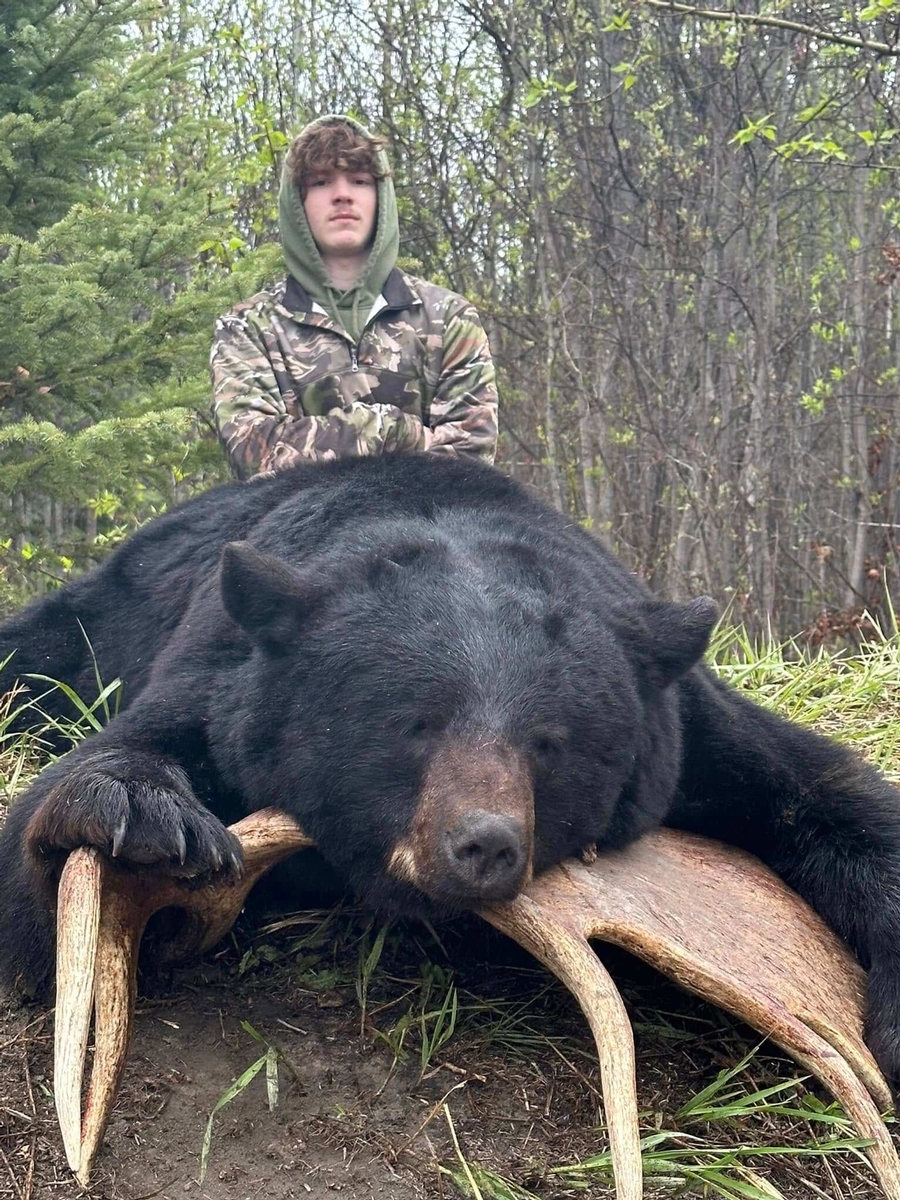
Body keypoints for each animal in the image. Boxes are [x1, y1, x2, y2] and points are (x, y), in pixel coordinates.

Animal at [0, 452, 899, 1093]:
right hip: (91, 620)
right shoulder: (223, 675)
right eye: (412, 725)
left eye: (549, 742)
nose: (484, 843)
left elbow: (832, 796)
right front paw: (143, 826)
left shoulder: (687, 729)